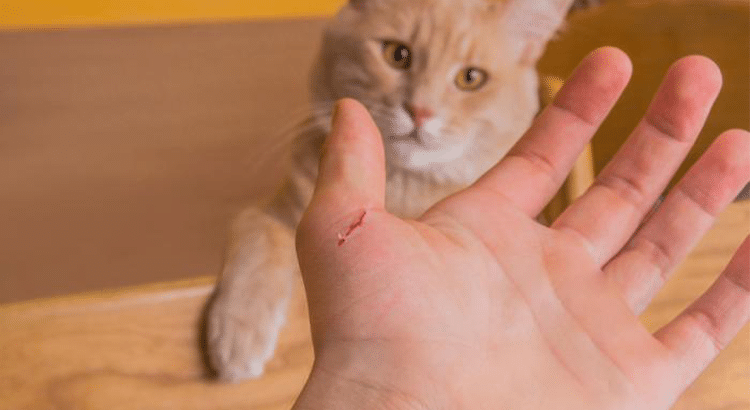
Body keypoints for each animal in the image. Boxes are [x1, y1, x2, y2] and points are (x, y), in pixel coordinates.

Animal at [207, 0, 580, 382]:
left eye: (471, 78)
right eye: (397, 55)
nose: (420, 111)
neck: (401, 187)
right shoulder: (270, 212)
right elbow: (257, 250)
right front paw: (238, 333)